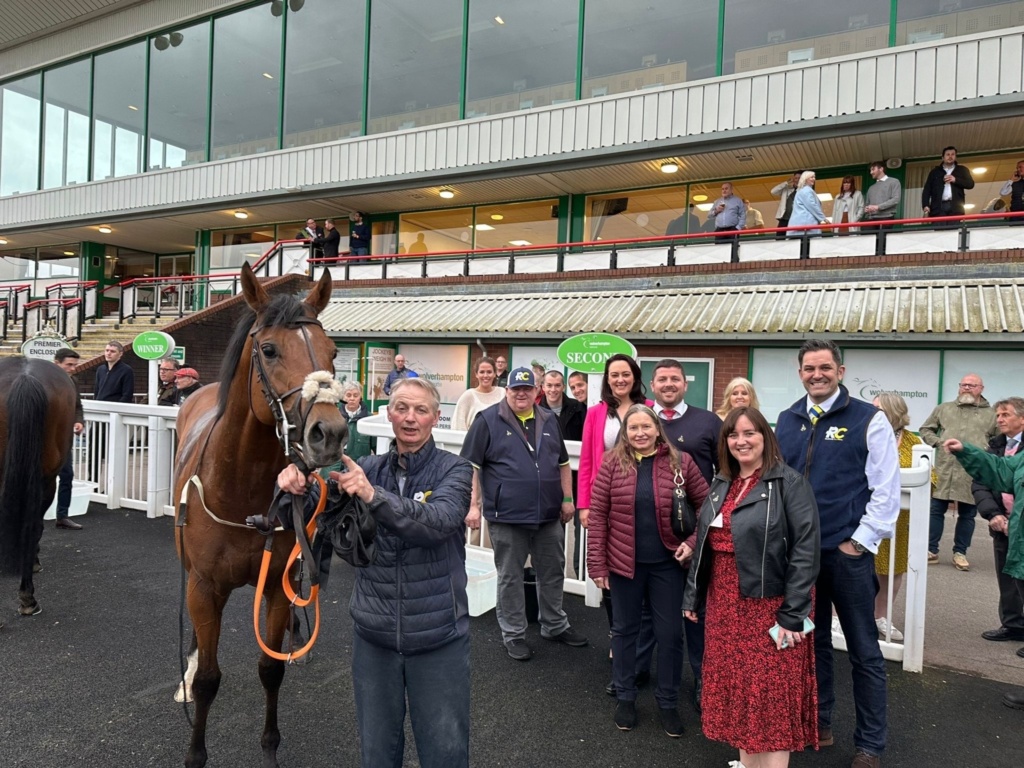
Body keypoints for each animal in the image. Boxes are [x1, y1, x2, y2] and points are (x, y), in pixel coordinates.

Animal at [173, 266, 348, 768]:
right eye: (269, 350)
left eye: (333, 351)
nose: (329, 433)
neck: (240, 488)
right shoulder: (204, 586)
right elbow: (209, 680)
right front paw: (196, 752)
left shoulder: (275, 585)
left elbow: (270, 669)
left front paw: (270, 748)